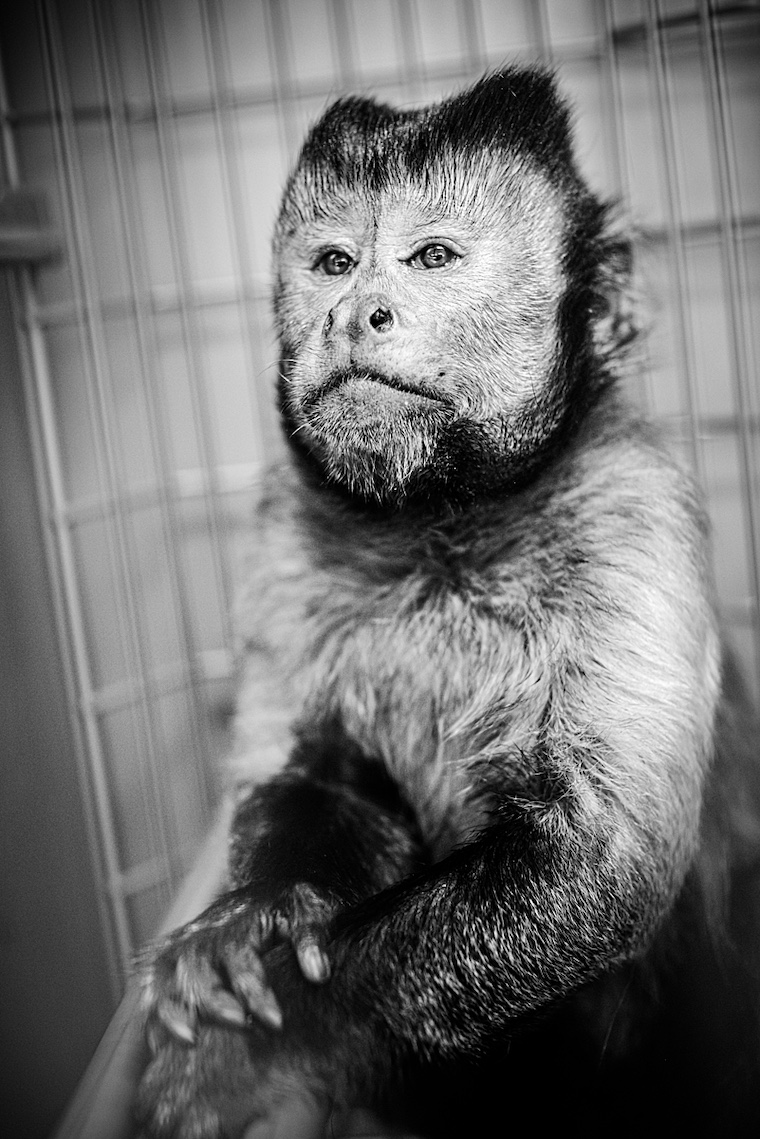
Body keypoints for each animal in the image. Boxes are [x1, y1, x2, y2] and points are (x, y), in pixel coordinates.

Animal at [135, 68, 760, 1139]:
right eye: (334, 263)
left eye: (431, 258)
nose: (356, 313)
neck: (443, 521)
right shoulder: (289, 528)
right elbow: (316, 769)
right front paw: (254, 917)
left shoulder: (632, 504)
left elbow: (594, 866)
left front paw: (277, 1029)